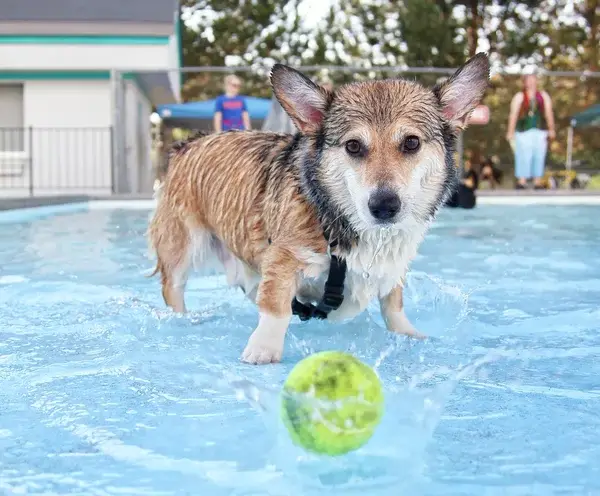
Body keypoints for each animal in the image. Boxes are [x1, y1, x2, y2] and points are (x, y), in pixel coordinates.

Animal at [148, 53, 490, 364]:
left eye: (411, 143)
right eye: (353, 146)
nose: (384, 206)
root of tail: (188, 144)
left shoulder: (393, 268)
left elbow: (393, 305)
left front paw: (407, 333)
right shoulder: (284, 257)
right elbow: (275, 307)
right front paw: (263, 348)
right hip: (181, 250)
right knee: (173, 289)